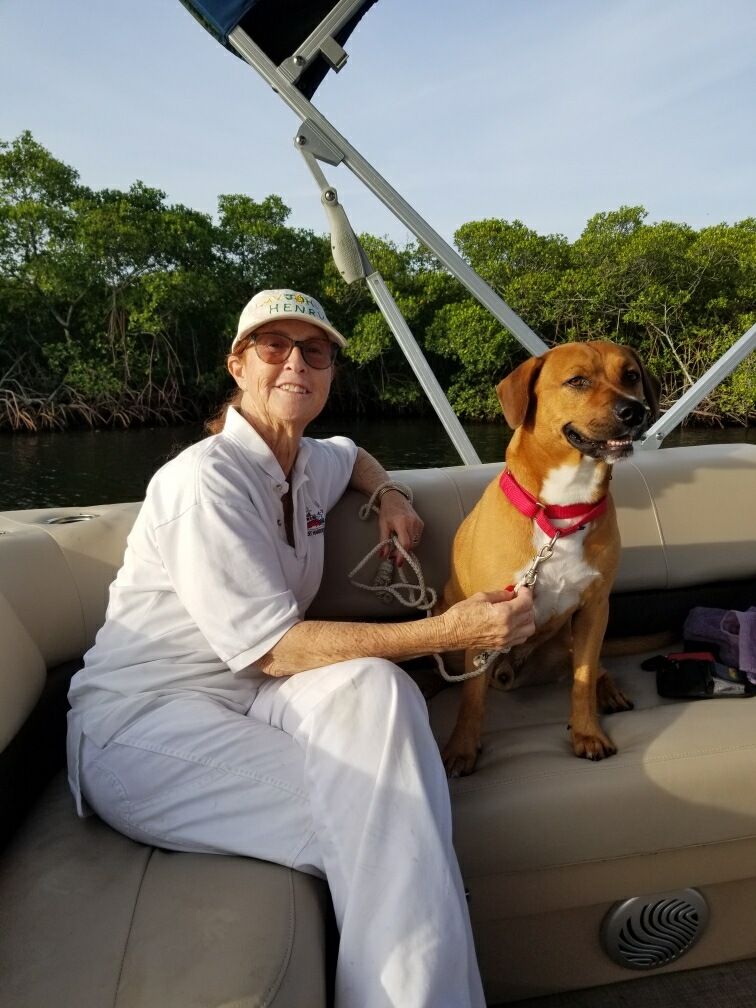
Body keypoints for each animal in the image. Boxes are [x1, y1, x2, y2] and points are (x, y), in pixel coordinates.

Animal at [441, 342, 661, 774]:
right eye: (577, 381)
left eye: (630, 375)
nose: (635, 411)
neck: (562, 509)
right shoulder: (486, 618)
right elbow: (472, 700)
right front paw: (462, 750)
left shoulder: (594, 610)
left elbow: (584, 679)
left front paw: (587, 732)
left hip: (570, 638)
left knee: (597, 668)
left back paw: (609, 690)